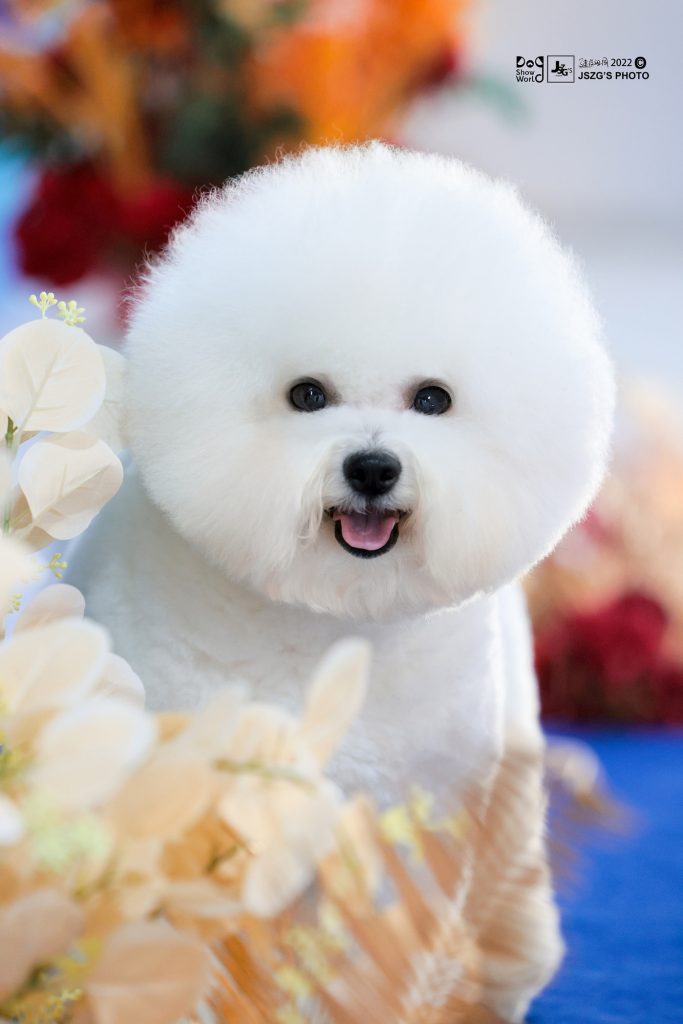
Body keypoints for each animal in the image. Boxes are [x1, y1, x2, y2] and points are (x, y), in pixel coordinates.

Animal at [70, 142, 614, 1019]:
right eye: (307, 395)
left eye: (432, 399)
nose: (371, 468)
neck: (325, 622)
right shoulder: (195, 798)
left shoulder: (400, 822)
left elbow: (372, 947)